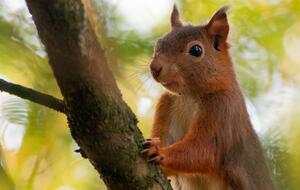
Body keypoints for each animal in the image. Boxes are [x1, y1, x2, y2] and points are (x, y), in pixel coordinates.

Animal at [142, 5, 276, 189]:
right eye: (159, 43)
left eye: (196, 50)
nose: (155, 68)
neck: (189, 96)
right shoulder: (166, 105)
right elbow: (165, 138)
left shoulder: (222, 111)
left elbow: (204, 150)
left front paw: (159, 152)